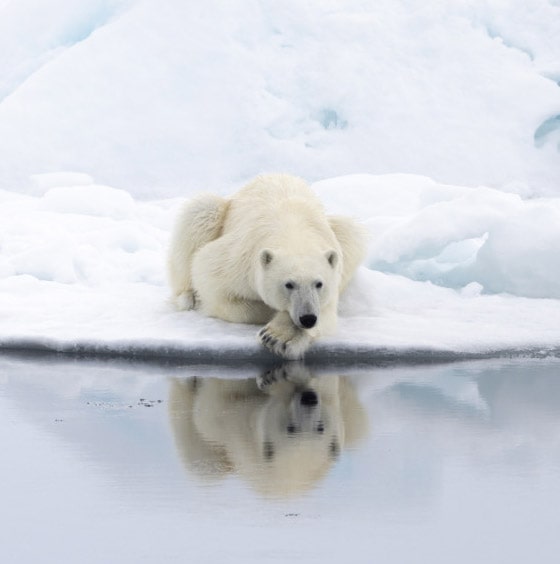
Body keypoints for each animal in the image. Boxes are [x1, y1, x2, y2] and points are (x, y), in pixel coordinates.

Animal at [167, 173, 368, 356]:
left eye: (319, 284)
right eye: (289, 284)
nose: (308, 318)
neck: (293, 231)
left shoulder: (332, 274)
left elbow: (327, 313)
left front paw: (278, 337)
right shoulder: (237, 259)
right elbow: (207, 275)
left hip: (341, 235)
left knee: (350, 231)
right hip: (220, 212)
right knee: (201, 210)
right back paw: (187, 296)